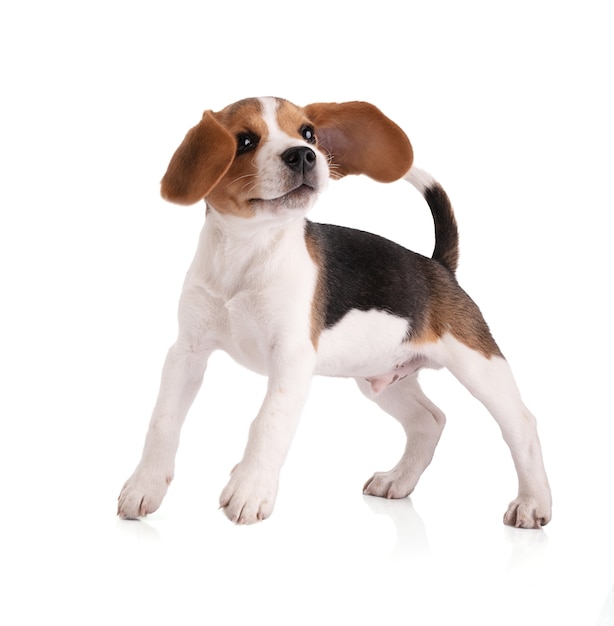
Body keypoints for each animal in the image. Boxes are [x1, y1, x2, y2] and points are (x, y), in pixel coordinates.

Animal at [116, 96, 552, 528]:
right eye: (244, 140)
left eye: (308, 132)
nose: (303, 155)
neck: (248, 249)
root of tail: (438, 265)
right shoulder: (186, 353)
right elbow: (162, 420)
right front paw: (144, 487)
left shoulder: (291, 358)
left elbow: (267, 422)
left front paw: (249, 489)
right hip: (381, 377)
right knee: (430, 420)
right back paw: (399, 480)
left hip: (478, 365)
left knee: (522, 424)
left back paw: (533, 503)